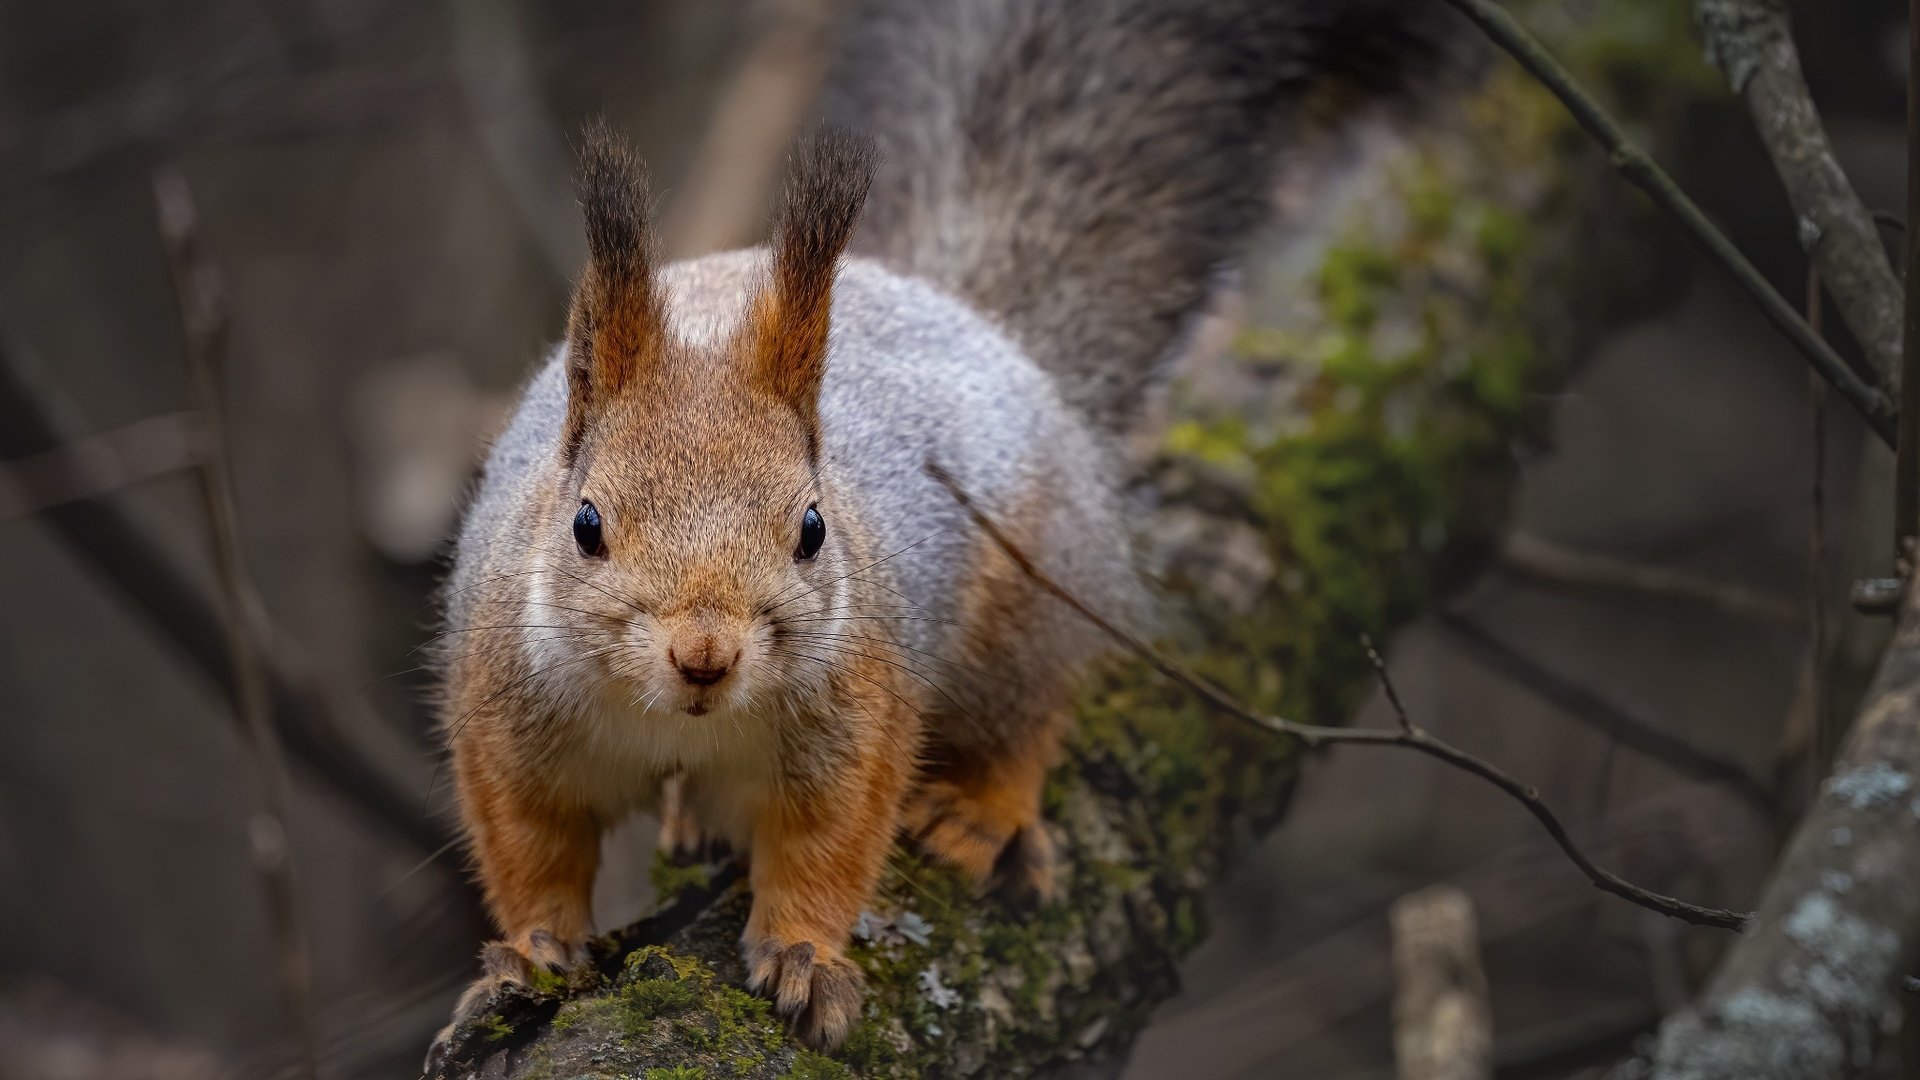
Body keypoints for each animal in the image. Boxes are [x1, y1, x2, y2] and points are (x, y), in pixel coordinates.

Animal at [428, 0, 1459, 1060]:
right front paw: (534, 954)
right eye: (586, 524)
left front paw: (803, 958)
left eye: (812, 528)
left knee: (1029, 712)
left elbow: (829, 845)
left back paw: (981, 813)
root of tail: (968, 317)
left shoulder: (862, 710)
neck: (676, 722)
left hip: (1025, 605)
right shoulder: (499, 715)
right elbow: (529, 847)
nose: (705, 656)